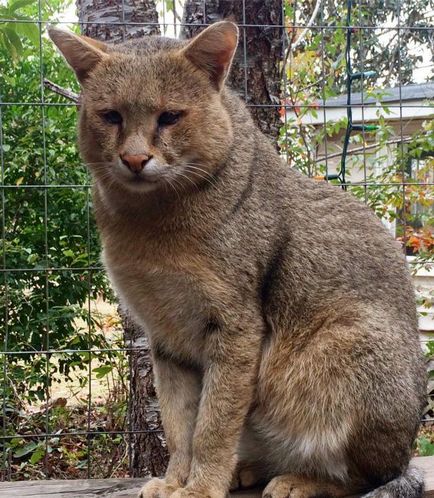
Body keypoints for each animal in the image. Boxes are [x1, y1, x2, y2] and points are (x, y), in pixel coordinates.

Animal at [49, 21, 426, 498]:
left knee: (371, 475)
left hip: (347, 348)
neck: (149, 228)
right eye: (111, 116)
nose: (134, 159)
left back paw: (300, 479)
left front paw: (200, 487)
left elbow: (213, 424)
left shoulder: (235, 328)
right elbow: (178, 424)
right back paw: (248, 469)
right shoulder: (166, 337)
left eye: (169, 117)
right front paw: (177, 480)